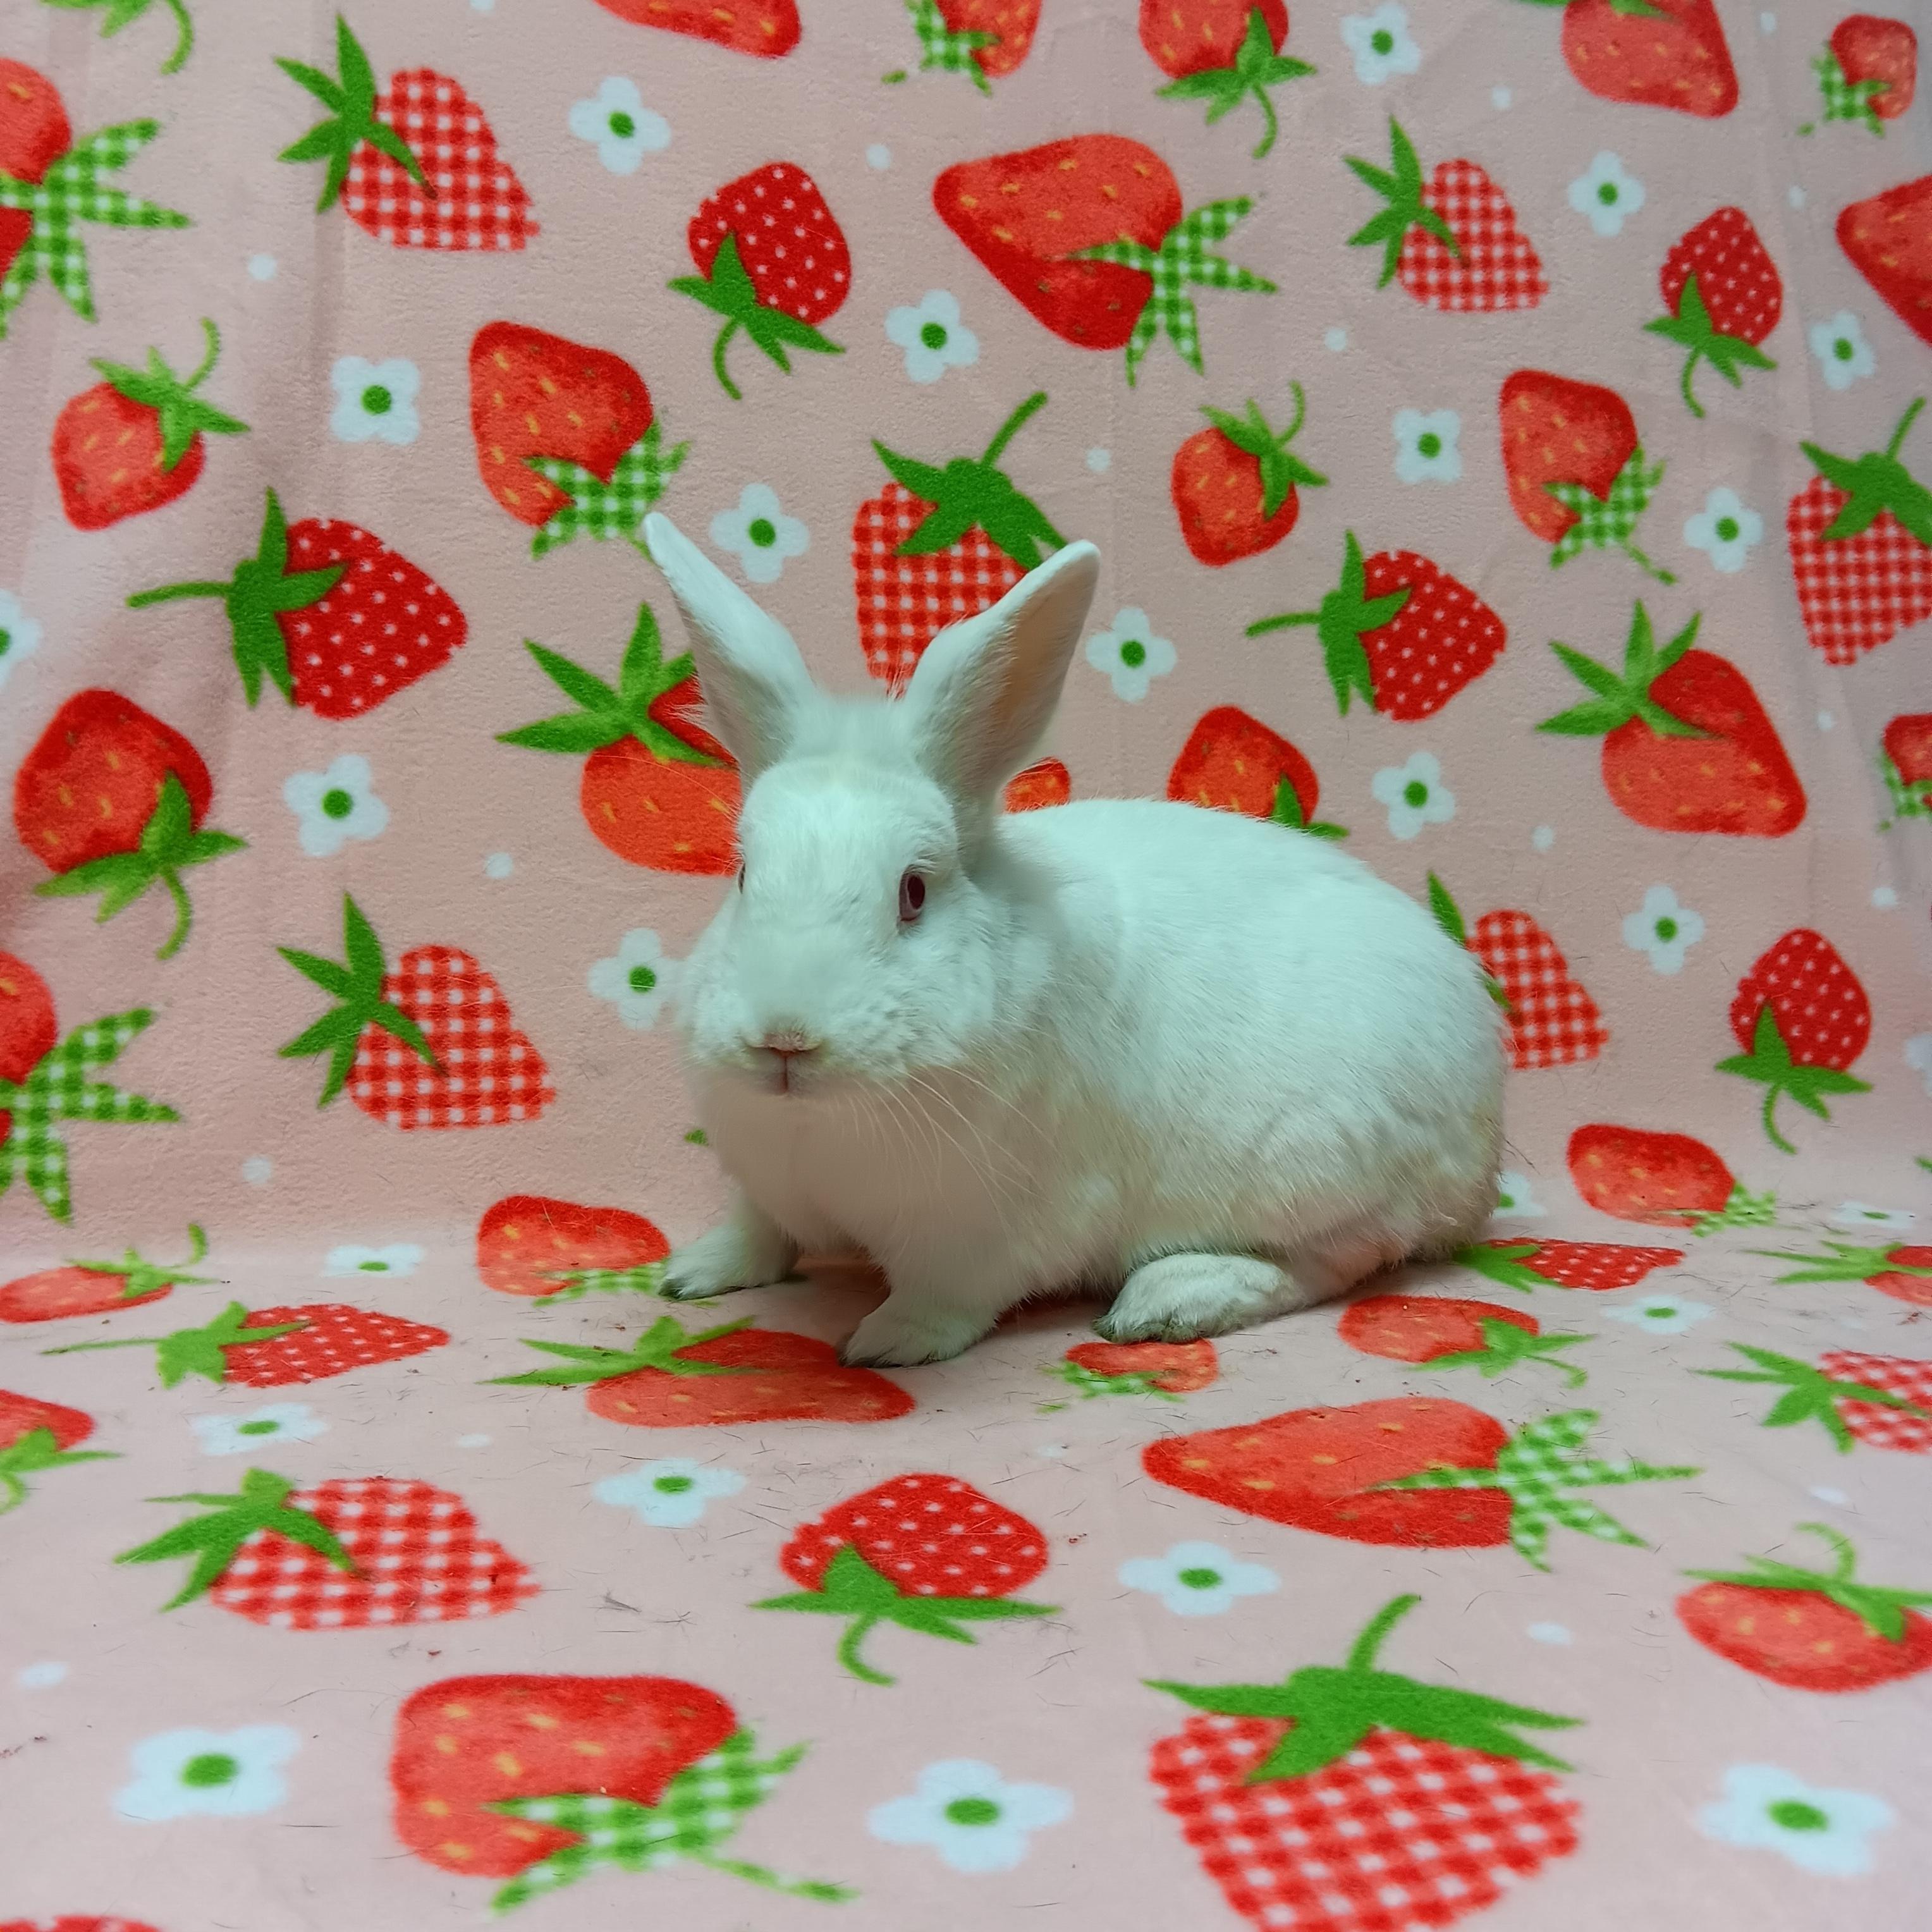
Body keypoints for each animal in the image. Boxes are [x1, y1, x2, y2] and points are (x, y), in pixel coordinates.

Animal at [641, 510, 1504, 1369]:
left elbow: (941, 1302)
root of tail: (1482, 1135)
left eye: (913, 892)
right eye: (744, 876)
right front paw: (692, 1272)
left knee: (1330, 1260)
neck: (811, 1123)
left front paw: (884, 1344)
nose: (783, 1038)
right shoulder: (766, 1188)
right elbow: (759, 1234)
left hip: (1314, 1169)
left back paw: (1169, 1300)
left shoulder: (979, 1237)